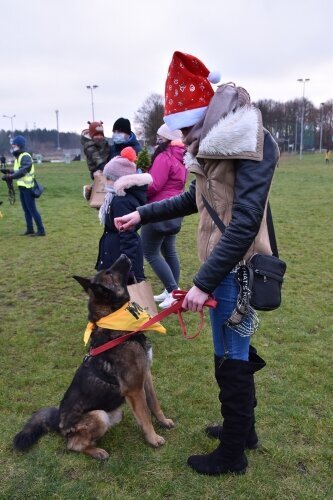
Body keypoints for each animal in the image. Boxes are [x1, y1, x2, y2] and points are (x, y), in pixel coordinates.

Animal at [13, 256, 174, 458]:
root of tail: (58, 421)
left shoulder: (146, 377)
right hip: (99, 415)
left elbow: (154, 404)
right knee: (73, 445)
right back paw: (97, 451)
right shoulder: (134, 390)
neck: (117, 326)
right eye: (109, 272)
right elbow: (145, 417)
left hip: (115, 413)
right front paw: (153, 439)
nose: (124, 255)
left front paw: (163, 421)